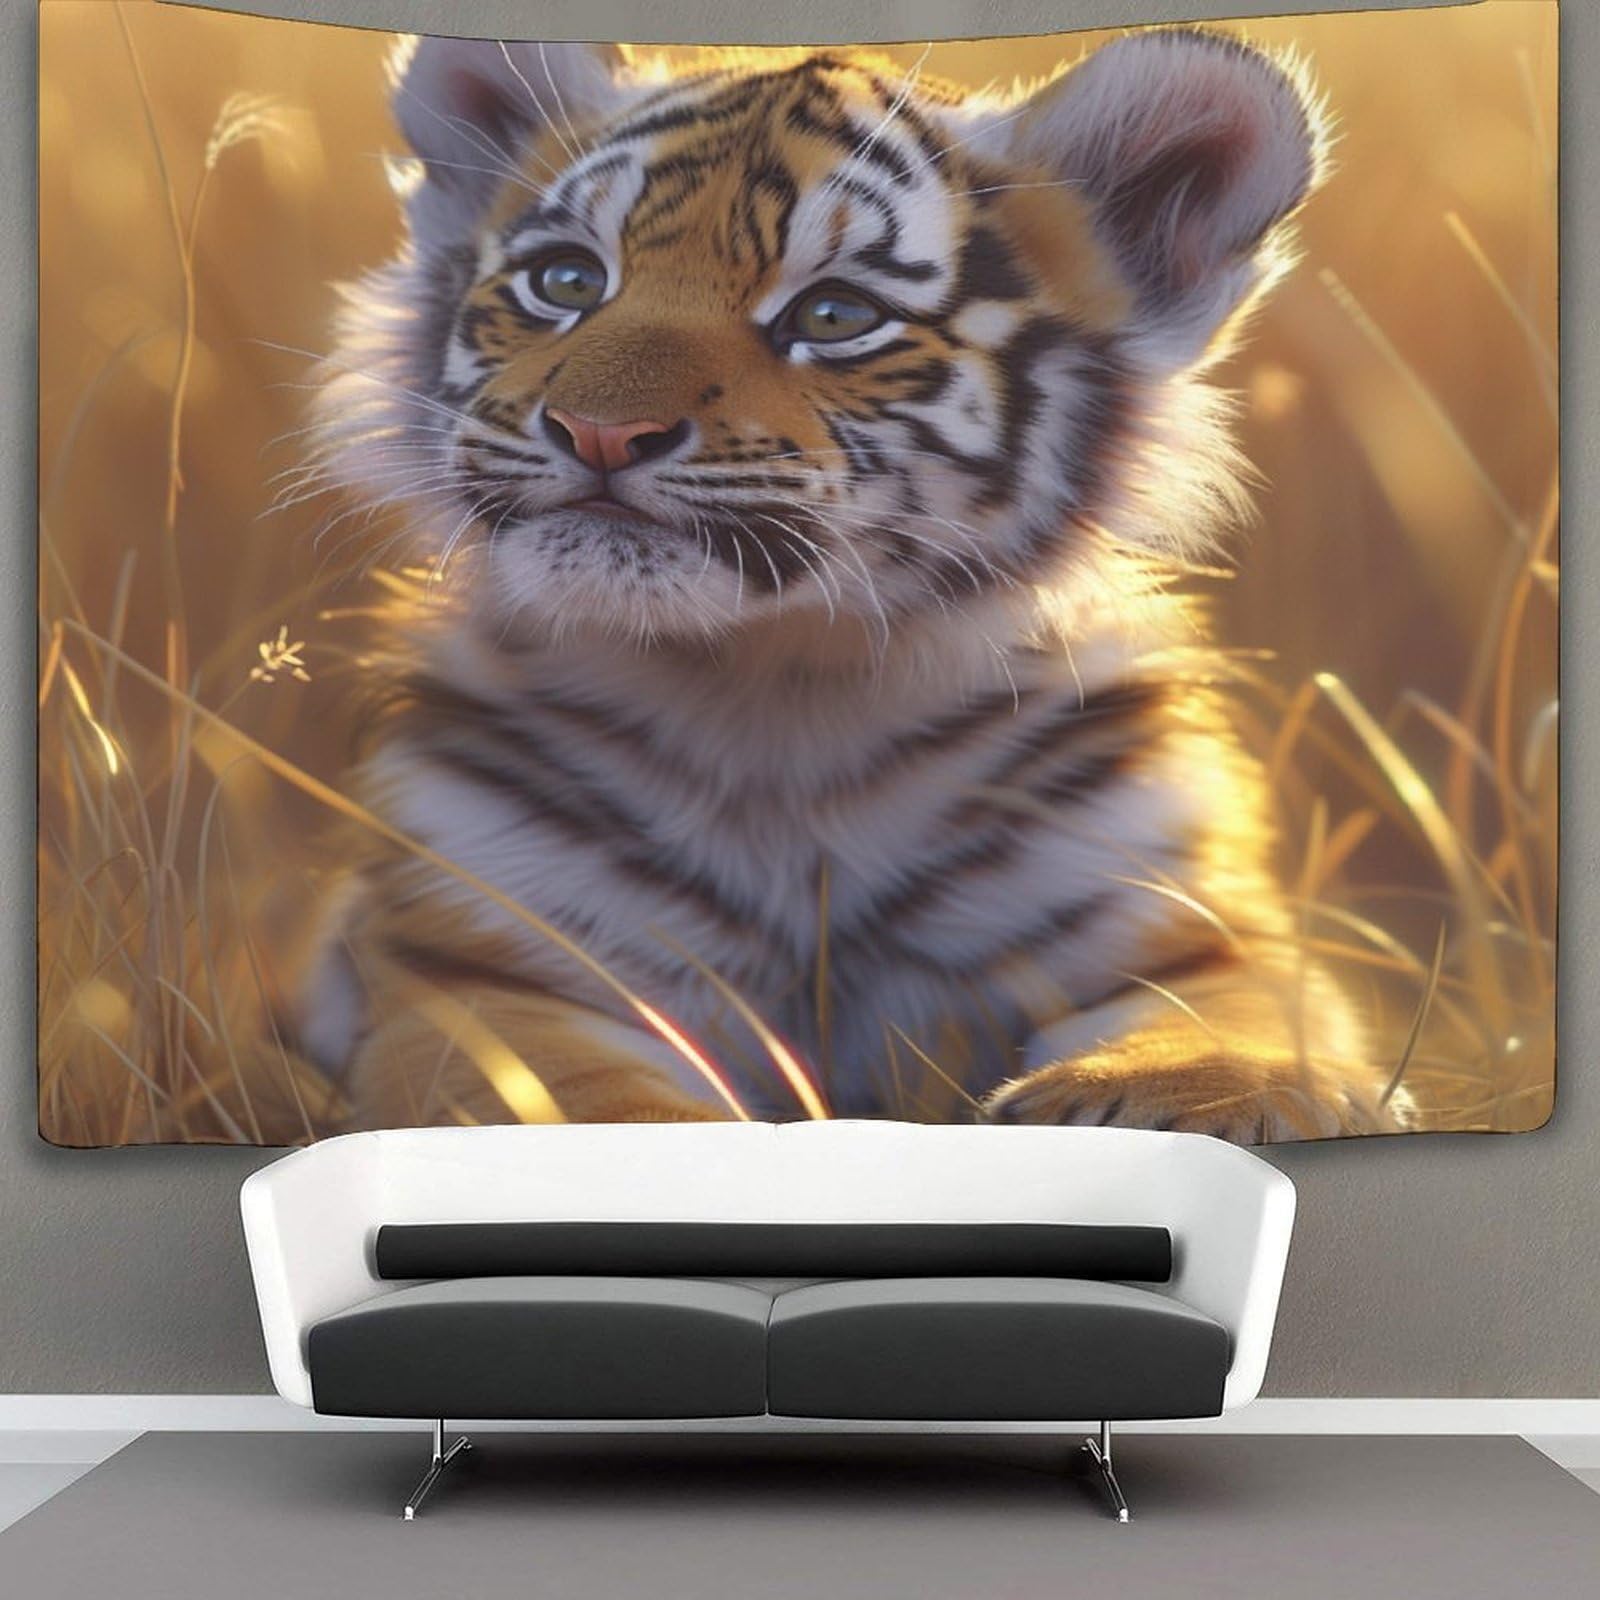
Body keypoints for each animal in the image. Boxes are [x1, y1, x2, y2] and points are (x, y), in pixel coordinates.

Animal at [291, 26, 1411, 1142]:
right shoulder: (489, 973)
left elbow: (1230, 1040)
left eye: (833, 315)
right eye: (565, 282)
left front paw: (1155, 1103)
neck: (780, 692)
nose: (599, 432)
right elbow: (609, 1114)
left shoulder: (1196, 929)